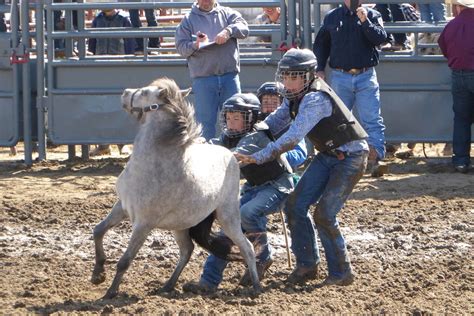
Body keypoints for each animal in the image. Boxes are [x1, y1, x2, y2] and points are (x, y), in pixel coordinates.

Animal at [90, 77, 262, 298]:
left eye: (144, 92)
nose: (125, 92)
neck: (151, 164)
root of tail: (231, 155)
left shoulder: (143, 224)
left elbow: (125, 260)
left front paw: (110, 293)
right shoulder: (122, 207)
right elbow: (98, 231)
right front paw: (97, 274)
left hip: (228, 217)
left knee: (247, 247)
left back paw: (256, 287)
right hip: (181, 224)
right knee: (187, 250)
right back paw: (167, 286)